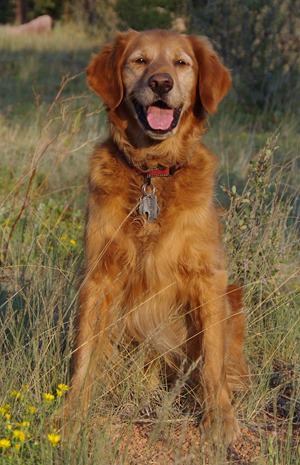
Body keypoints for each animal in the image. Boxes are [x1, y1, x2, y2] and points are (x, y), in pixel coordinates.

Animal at [63, 28, 248, 442]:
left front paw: (219, 417)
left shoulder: (208, 278)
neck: (153, 173)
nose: (161, 83)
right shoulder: (99, 275)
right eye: (139, 61)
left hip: (233, 297)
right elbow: (85, 348)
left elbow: (212, 356)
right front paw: (73, 412)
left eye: (181, 63)